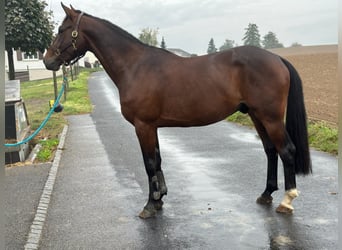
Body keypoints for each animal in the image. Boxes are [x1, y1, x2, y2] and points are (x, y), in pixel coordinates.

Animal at [44, 3, 312, 219]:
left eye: (61, 30)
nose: (47, 60)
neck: (135, 66)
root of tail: (277, 58)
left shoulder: (143, 126)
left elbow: (149, 163)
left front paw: (150, 206)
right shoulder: (152, 126)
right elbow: (158, 160)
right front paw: (160, 198)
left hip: (271, 117)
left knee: (287, 151)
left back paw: (287, 201)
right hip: (258, 116)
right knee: (270, 150)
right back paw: (266, 194)